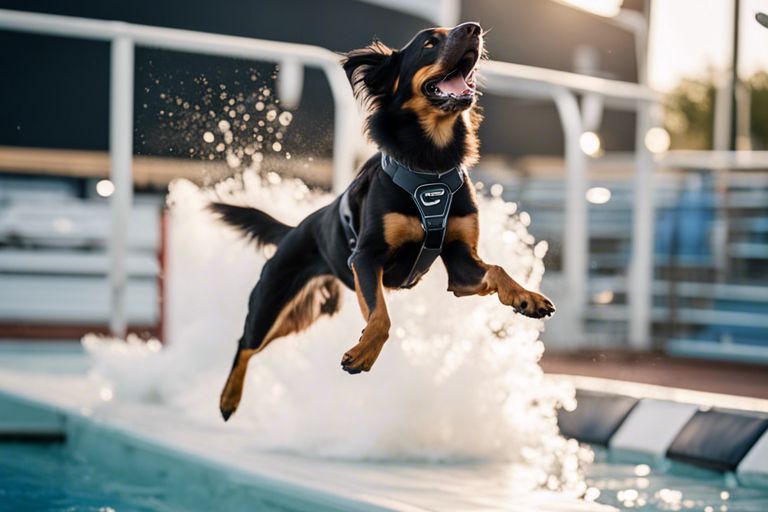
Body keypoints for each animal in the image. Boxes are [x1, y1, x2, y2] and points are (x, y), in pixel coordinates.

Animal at [213, 23, 556, 420]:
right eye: (429, 43)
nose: (473, 28)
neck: (431, 164)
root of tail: (295, 230)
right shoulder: (365, 257)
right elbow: (381, 317)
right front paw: (363, 353)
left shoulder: (460, 264)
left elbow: (497, 269)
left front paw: (526, 297)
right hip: (272, 300)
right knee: (246, 342)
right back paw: (228, 398)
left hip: (306, 313)